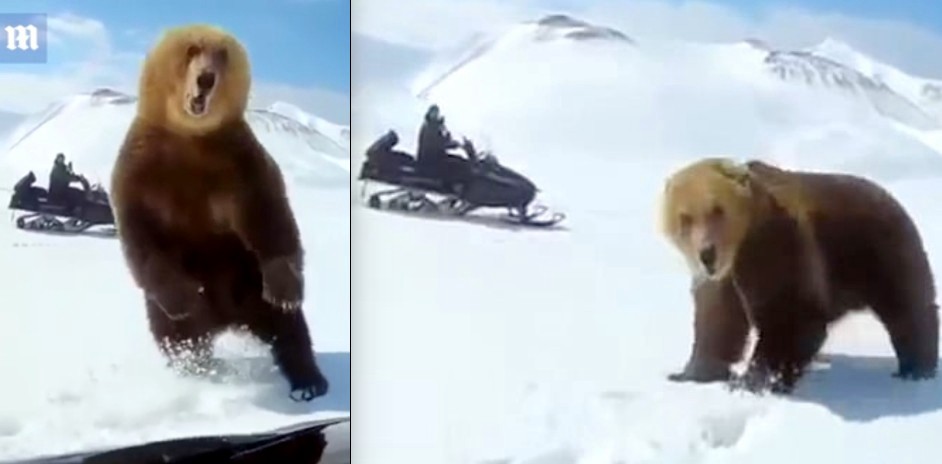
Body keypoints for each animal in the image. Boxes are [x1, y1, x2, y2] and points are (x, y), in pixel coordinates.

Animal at [109, 24, 328, 402]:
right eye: (191, 50)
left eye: (223, 55)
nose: (206, 78)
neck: (190, 139)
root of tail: (226, 320)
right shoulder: (140, 168)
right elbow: (141, 234)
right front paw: (182, 297)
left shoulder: (239, 164)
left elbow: (270, 218)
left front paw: (285, 292)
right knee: (177, 335)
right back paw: (200, 368)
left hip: (247, 279)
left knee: (288, 328)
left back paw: (308, 380)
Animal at [659, 157, 939, 393]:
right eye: (685, 217)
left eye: (718, 210)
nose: (707, 253)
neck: (739, 250)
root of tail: (889, 195)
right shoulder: (720, 282)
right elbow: (716, 323)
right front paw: (690, 374)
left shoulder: (778, 251)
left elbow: (791, 318)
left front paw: (756, 380)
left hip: (879, 252)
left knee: (908, 309)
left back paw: (915, 369)